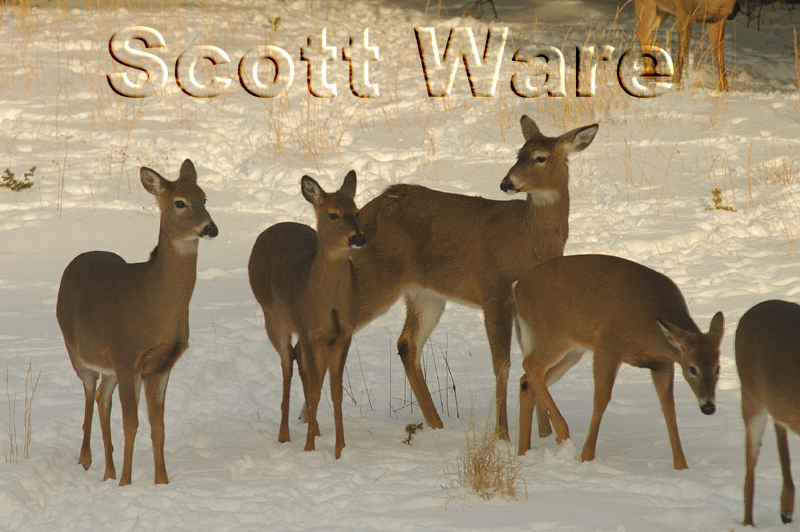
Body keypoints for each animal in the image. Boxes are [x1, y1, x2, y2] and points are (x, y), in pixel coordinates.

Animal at [56, 160, 218, 486]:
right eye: (180, 202)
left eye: (205, 198)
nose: (211, 228)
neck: (153, 304)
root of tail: (76, 261)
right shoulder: (127, 354)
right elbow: (131, 423)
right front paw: (126, 483)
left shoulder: (161, 364)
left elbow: (159, 426)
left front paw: (161, 481)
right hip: (75, 347)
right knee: (90, 392)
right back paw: (87, 459)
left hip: (111, 366)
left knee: (102, 398)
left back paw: (108, 470)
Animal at [248, 171, 364, 459]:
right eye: (333, 214)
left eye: (357, 212)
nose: (358, 238)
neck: (328, 301)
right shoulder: (312, 330)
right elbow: (314, 391)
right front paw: (309, 448)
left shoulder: (343, 333)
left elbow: (335, 391)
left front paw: (340, 450)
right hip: (272, 315)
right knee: (287, 365)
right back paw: (284, 434)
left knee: (299, 361)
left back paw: (316, 428)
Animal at [351, 116, 599, 441]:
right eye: (518, 152)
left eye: (540, 157)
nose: (506, 183)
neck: (529, 241)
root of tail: (363, 214)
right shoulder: (494, 290)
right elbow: (502, 366)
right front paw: (503, 435)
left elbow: (532, 364)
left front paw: (543, 436)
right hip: (376, 276)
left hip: (425, 294)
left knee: (407, 344)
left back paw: (436, 425)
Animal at [514, 254, 724, 469]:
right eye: (693, 369)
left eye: (718, 368)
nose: (709, 407)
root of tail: (518, 288)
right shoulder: (607, 346)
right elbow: (601, 400)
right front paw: (586, 457)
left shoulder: (662, 363)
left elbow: (668, 408)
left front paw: (682, 467)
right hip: (554, 334)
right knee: (530, 366)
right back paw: (562, 435)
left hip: (572, 352)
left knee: (526, 382)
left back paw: (523, 453)